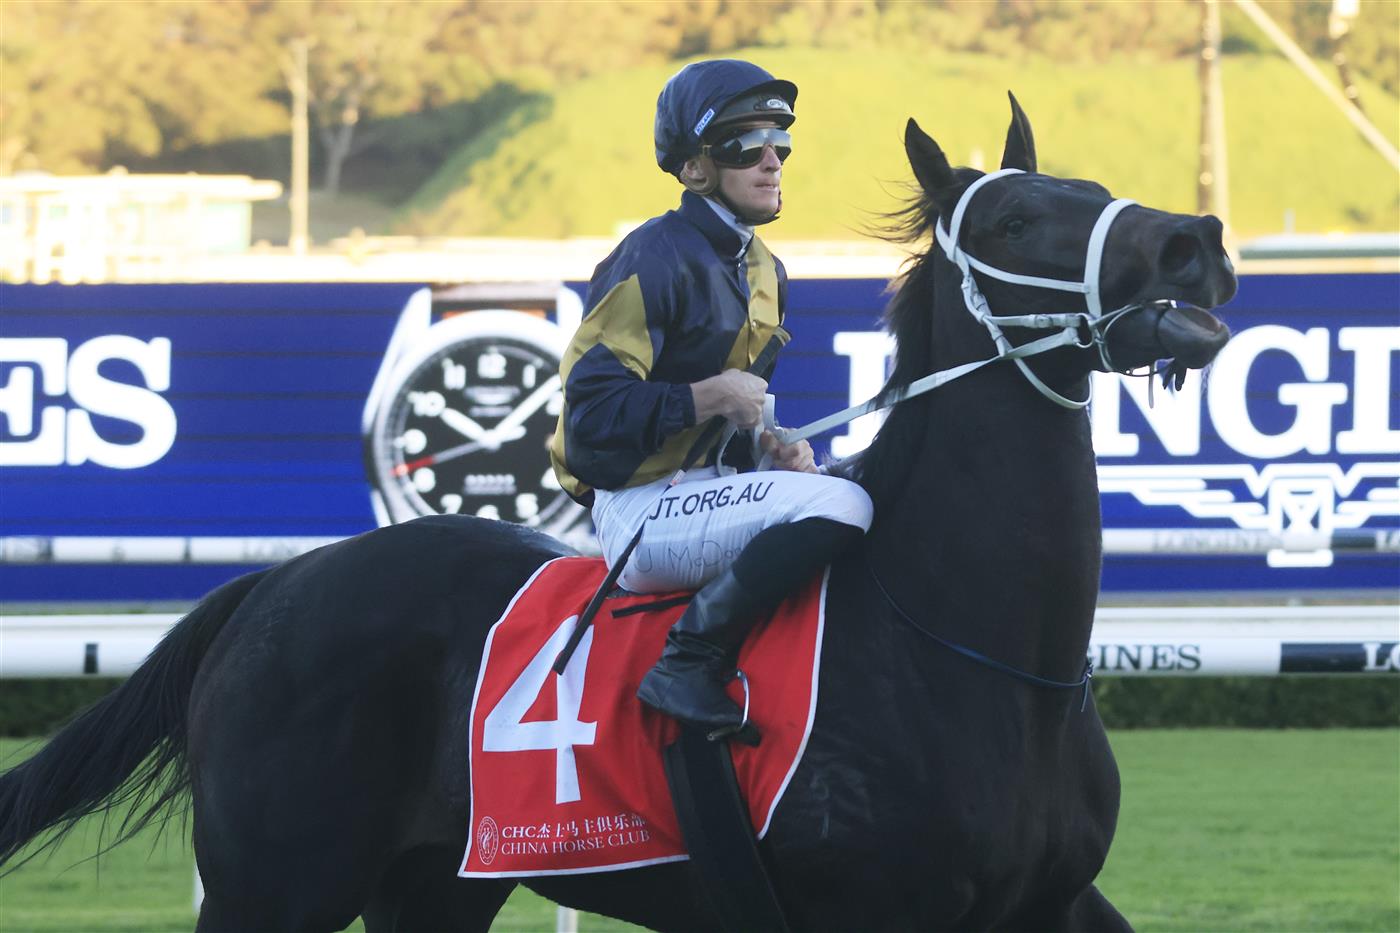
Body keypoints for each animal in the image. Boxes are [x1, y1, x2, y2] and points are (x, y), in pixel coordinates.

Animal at [0, 96, 1234, 932]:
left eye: (1088, 192)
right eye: (1020, 217)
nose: (1198, 244)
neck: (979, 654)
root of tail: (277, 582)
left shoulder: (1051, 903)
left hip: (433, 882)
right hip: (274, 881)